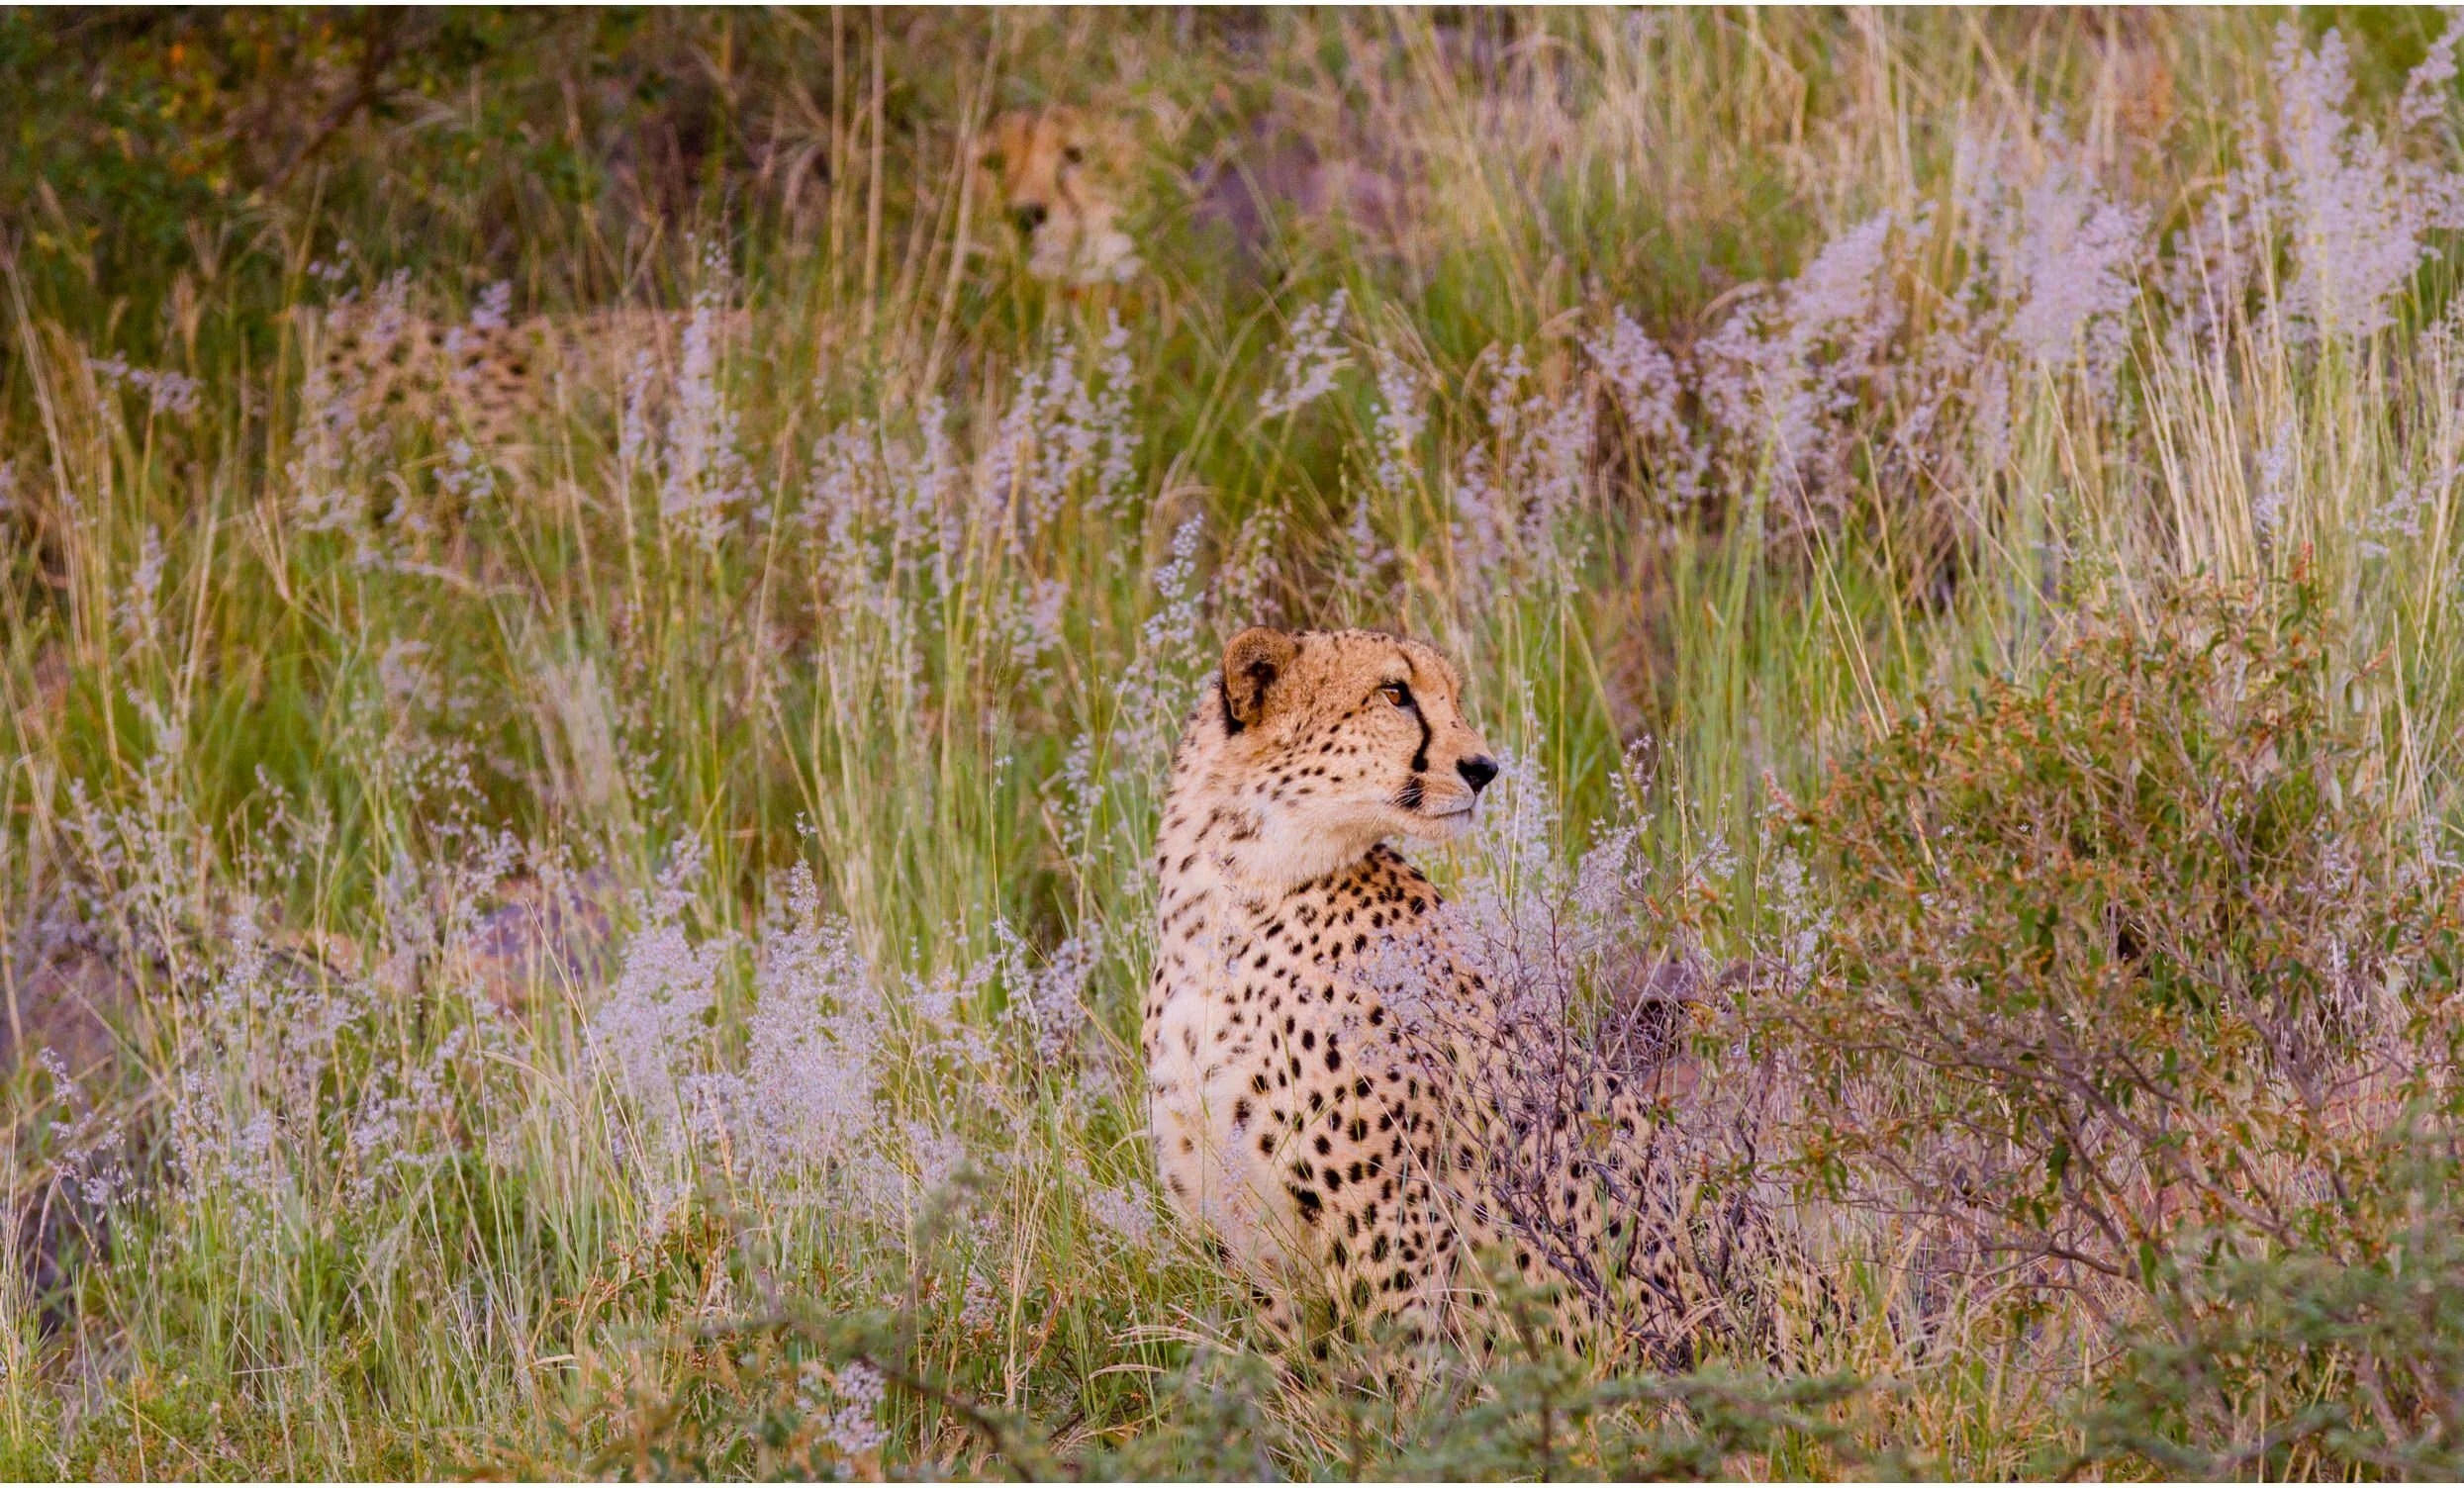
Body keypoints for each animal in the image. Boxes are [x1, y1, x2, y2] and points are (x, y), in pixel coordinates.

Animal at [1144, 626, 1798, 1365]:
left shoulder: (1396, 1244)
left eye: (1451, 697)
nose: (1485, 768)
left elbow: (1408, 1381)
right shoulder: (1253, 1249)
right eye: (1393, 693)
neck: (1230, 898)